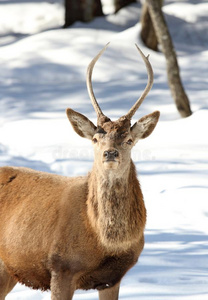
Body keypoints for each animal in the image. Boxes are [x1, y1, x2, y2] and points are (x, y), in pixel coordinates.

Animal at [0, 42, 159, 300]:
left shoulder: (113, 277)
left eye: (129, 139)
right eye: (95, 139)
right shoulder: (61, 266)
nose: (110, 153)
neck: (104, 241)